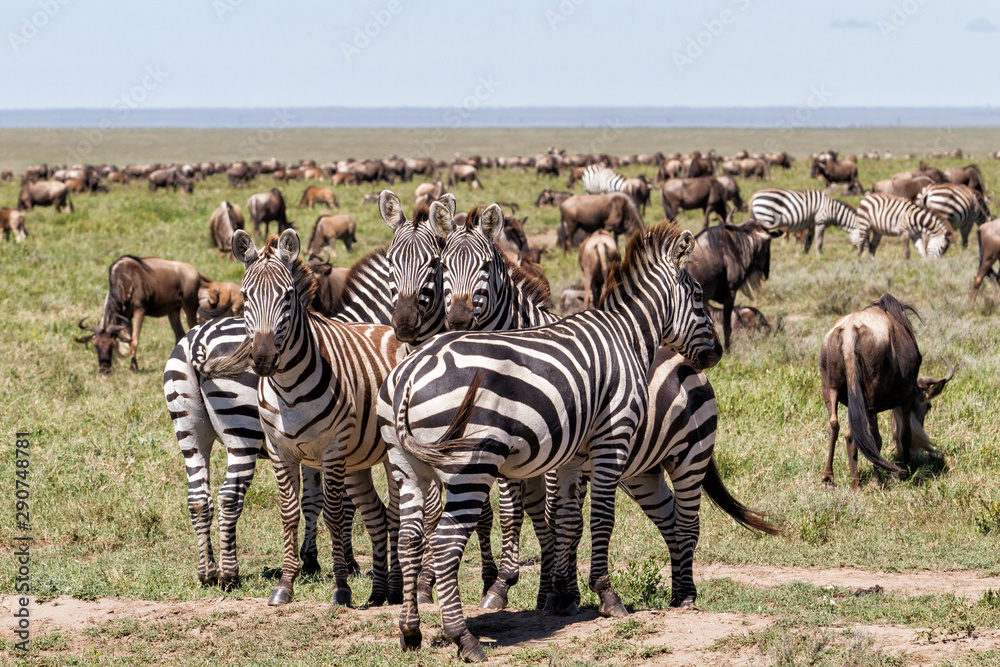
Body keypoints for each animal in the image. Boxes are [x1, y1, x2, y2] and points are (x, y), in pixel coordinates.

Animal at [163, 190, 455, 595]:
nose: (405, 326)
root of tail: (197, 343)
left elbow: (313, 501)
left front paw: (314, 560)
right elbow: (336, 505)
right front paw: (336, 561)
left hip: (189, 429)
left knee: (198, 497)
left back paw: (207, 571)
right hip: (241, 431)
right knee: (228, 497)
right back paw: (229, 573)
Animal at [378, 221, 723, 661]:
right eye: (698, 296)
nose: (716, 353)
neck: (628, 335)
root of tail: (409, 373)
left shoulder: (573, 455)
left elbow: (568, 520)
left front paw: (562, 596)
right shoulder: (613, 437)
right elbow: (601, 518)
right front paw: (607, 596)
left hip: (406, 465)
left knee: (409, 539)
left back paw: (410, 631)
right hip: (472, 464)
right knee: (445, 541)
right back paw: (464, 638)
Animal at [436, 205, 777, 612]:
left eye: (486, 265)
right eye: (442, 265)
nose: (457, 319)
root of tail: (690, 368)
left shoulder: (560, 461)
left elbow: (560, 520)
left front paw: (557, 592)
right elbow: (518, 515)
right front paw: (514, 589)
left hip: (689, 456)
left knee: (688, 522)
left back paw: (686, 594)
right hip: (644, 473)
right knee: (671, 519)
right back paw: (678, 592)